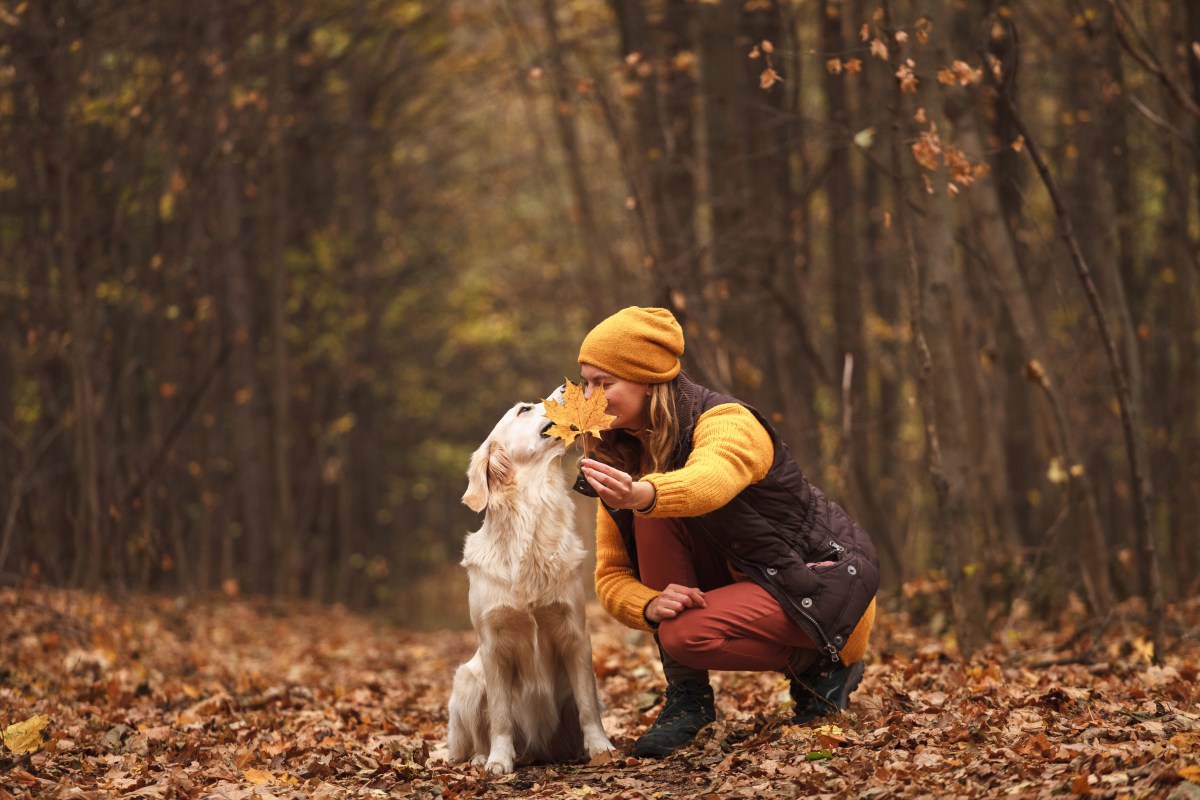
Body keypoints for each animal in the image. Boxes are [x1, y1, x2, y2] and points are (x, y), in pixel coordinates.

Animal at [451, 398, 619, 777]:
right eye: (524, 409)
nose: (567, 390)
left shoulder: (575, 633)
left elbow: (588, 705)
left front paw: (600, 747)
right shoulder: (492, 644)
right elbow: (500, 716)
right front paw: (499, 759)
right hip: (467, 680)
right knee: (474, 737)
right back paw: (480, 757)